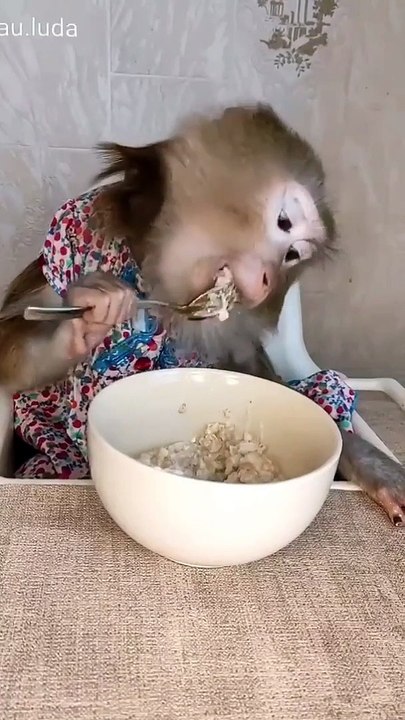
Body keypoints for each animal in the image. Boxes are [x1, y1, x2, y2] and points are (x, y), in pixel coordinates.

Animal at [0, 103, 404, 524]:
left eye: (293, 255)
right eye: (284, 222)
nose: (267, 281)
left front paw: (371, 464)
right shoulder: (72, 234)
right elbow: (11, 348)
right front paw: (89, 311)